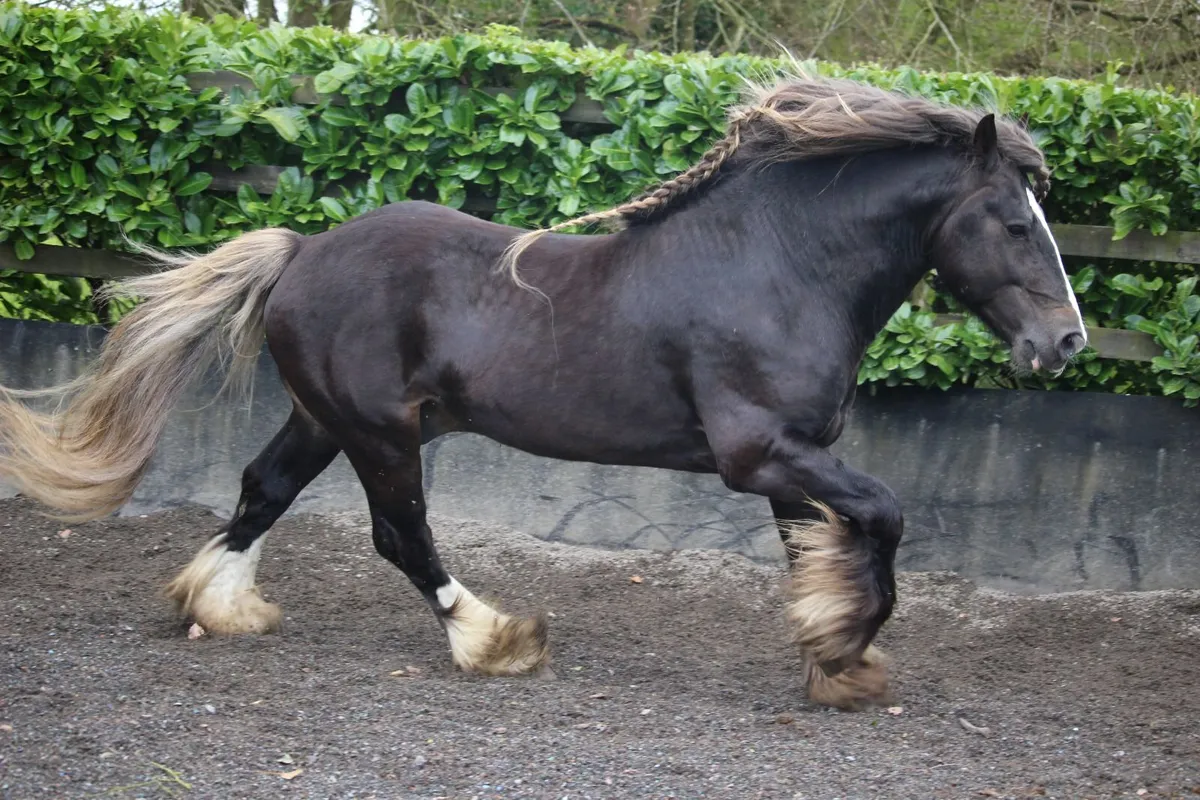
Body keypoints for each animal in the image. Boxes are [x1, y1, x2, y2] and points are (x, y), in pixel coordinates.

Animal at [0, 76, 1086, 710]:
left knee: (260, 488)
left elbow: (816, 547)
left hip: (324, 418)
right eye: (1014, 223)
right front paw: (851, 642)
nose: (1066, 340)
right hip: (382, 432)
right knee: (401, 534)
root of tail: (303, 249)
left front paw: (832, 654)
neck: (774, 268)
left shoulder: (795, 455)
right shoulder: (758, 453)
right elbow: (886, 516)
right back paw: (495, 639)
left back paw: (221, 609)